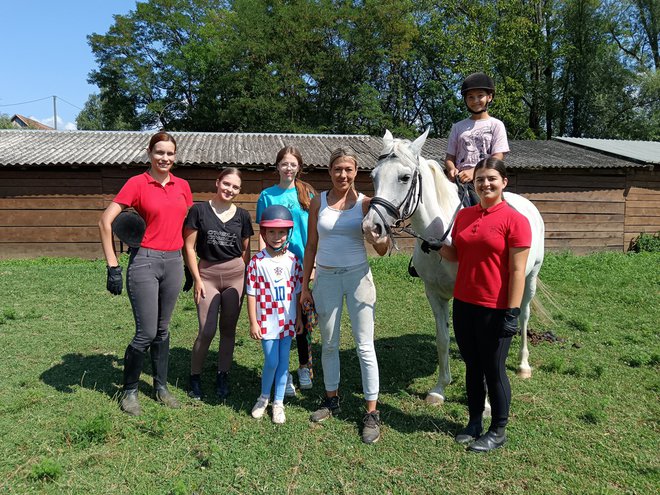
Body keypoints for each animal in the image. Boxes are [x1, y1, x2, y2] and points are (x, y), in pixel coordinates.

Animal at [364, 130, 544, 404]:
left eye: (404, 177)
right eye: (373, 176)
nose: (371, 228)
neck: (442, 236)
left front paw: (485, 403)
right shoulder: (434, 293)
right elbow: (443, 338)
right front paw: (439, 389)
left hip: (530, 277)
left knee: (523, 316)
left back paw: (524, 365)